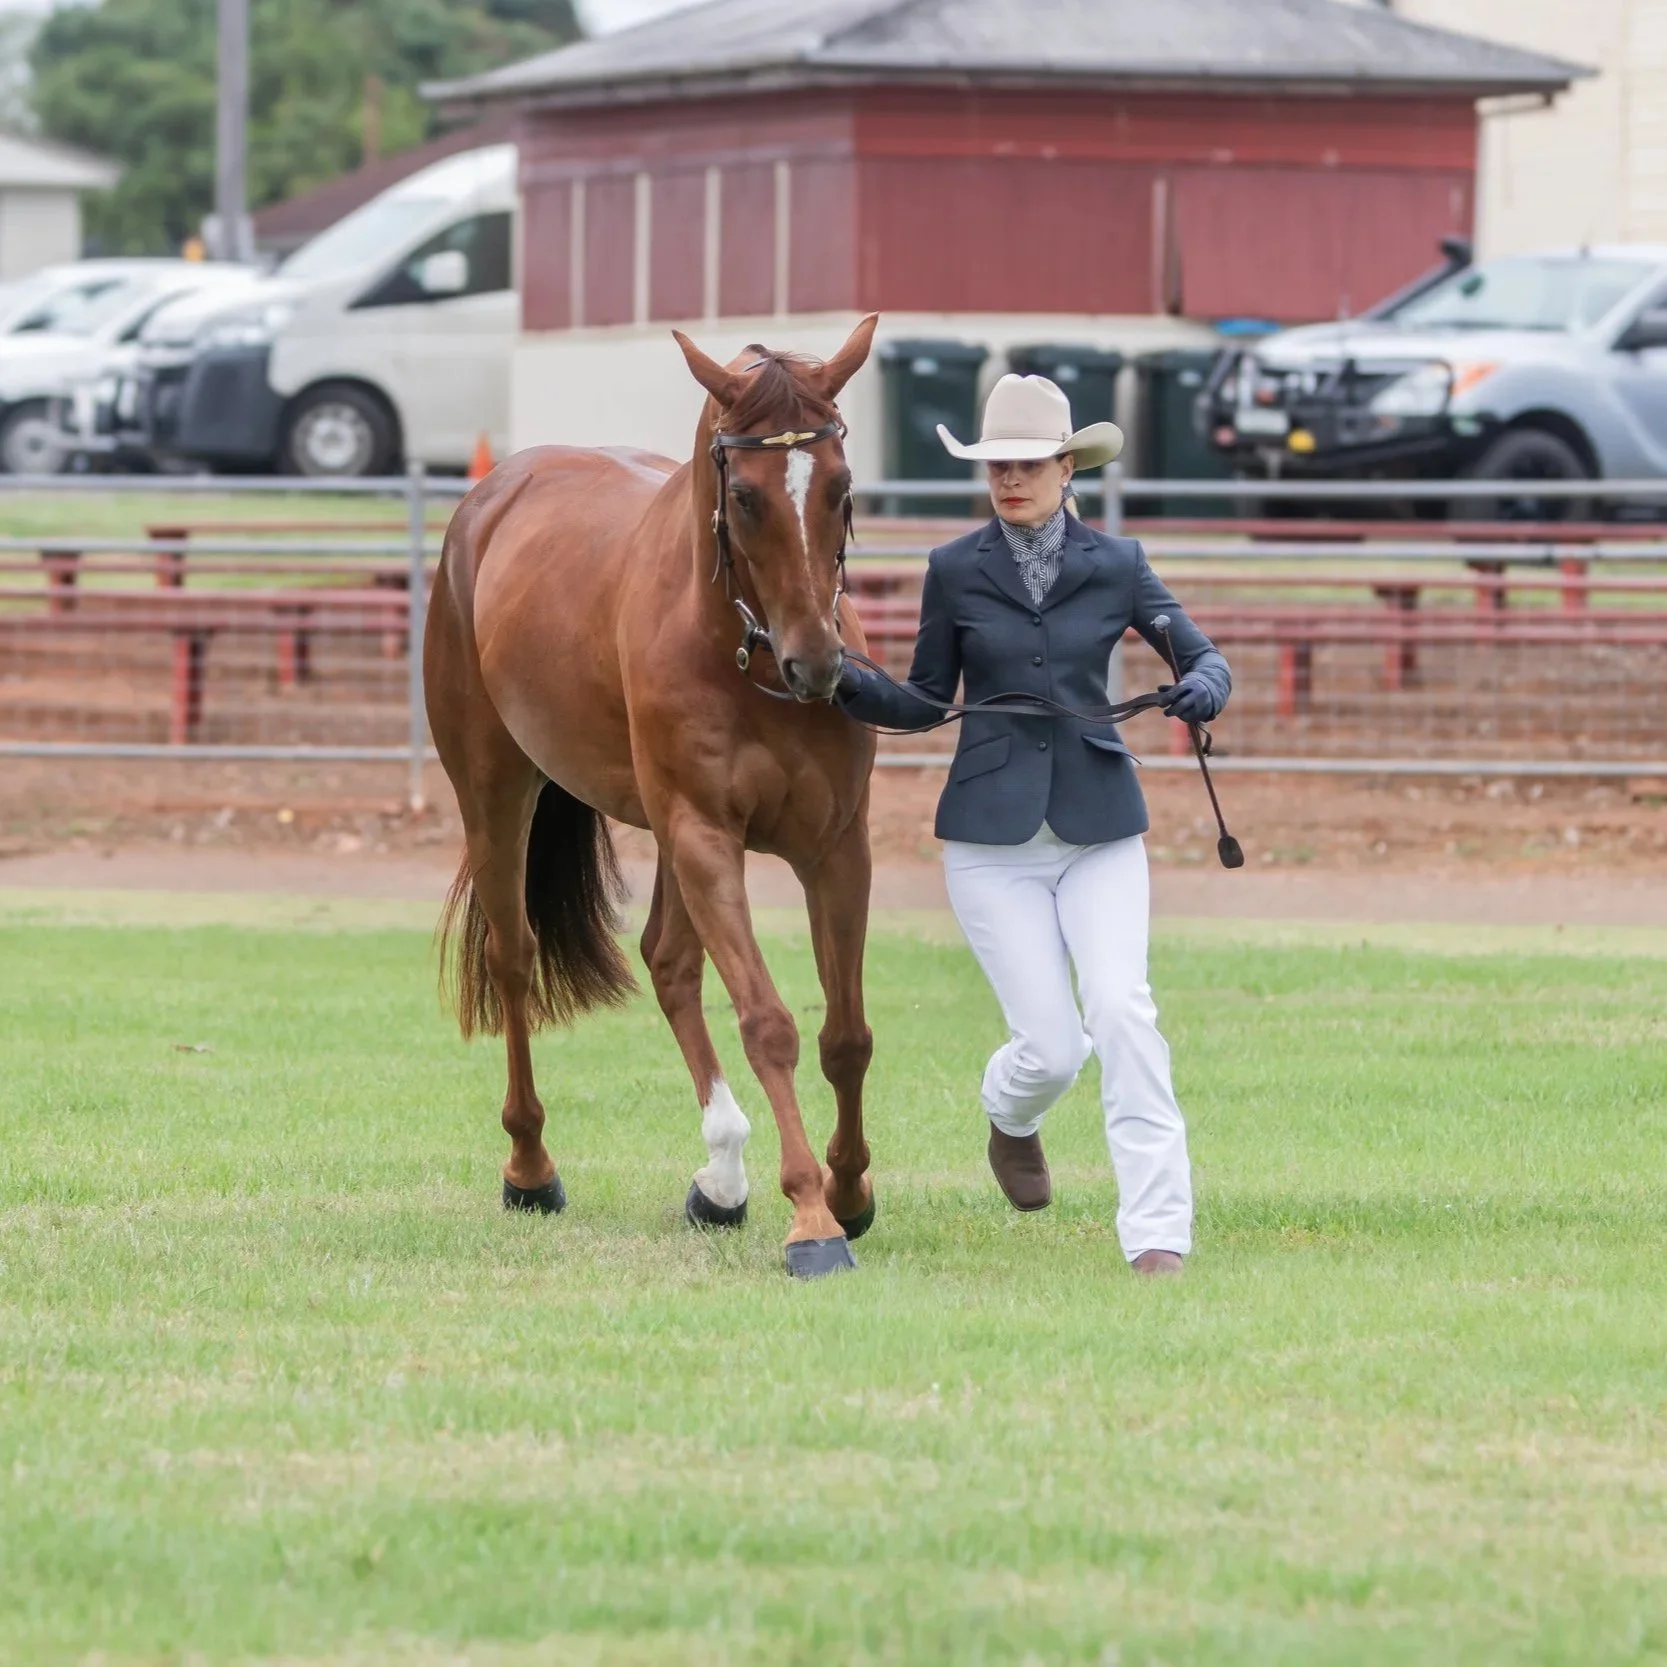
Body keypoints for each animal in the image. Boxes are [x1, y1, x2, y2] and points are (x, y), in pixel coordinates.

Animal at [425, 315, 882, 1279]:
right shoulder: (706, 835)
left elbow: (845, 1032)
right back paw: (531, 1167)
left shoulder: (835, 846)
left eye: (841, 485)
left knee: (669, 961)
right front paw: (811, 1218)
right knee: (514, 957)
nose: (817, 666)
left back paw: (721, 1179)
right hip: (495, 789)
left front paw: (850, 1190)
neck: (741, 653)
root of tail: (496, 495)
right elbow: (768, 1023)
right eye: (743, 495)